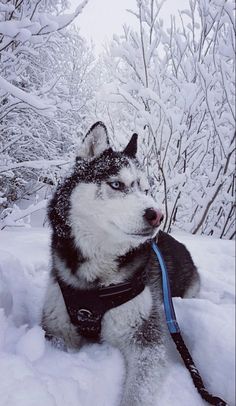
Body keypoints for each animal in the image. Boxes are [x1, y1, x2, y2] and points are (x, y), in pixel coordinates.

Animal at [42, 123, 199, 406]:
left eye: (145, 190)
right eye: (117, 184)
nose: (158, 215)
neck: (97, 280)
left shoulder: (145, 337)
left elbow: (137, 393)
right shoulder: (57, 327)